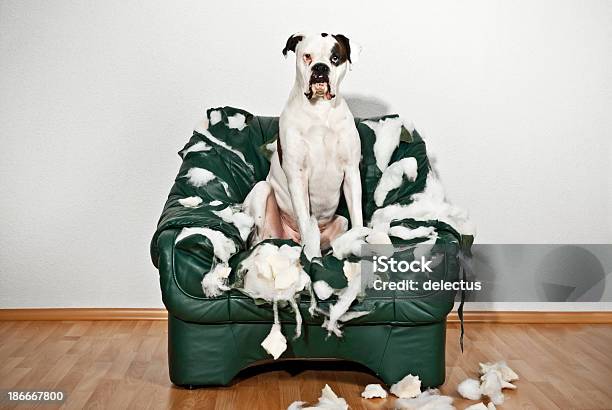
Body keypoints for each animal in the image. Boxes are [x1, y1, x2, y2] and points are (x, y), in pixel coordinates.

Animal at [244, 32, 364, 258]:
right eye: (307, 56)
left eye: (335, 58)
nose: (320, 68)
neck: (320, 111)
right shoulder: (297, 176)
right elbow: (307, 224)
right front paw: (312, 259)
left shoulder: (352, 173)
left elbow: (358, 218)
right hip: (262, 190)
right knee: (258, 238)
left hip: (341, 222)